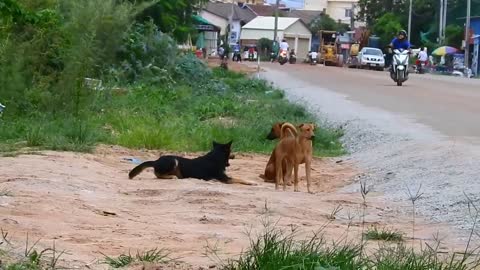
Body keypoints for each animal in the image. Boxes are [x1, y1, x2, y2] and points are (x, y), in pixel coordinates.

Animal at [127, 139, 255, 186]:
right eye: (231, 150)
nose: (235, 155)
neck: (215, 156)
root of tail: (156, 161)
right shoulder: (225, 178)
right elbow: (238, 178)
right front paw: (251, 182)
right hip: (174, 160)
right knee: (158, 174)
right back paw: (171, 177)